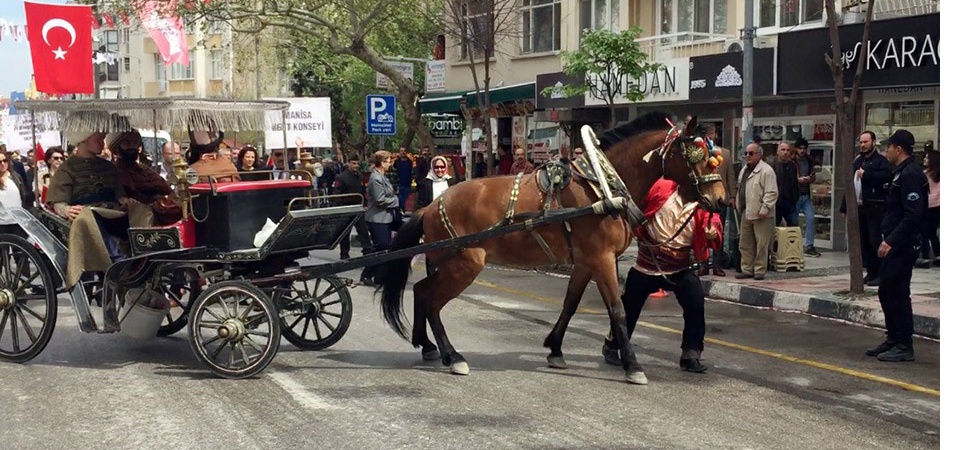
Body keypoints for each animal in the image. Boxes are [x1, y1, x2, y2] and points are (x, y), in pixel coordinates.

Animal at [378, 112, 724, 384]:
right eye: (696, 156)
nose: (720, 200)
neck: (603, 186)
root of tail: (429, 206)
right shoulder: (602, 259)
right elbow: (618, 310)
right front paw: (632, 364)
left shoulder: (585, 261)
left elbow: (570, 304)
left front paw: (555, 348)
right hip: (464, 265)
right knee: (433, 303)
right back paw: (452, 356)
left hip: (447, 263)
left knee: (421, 290)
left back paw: (427, 346)